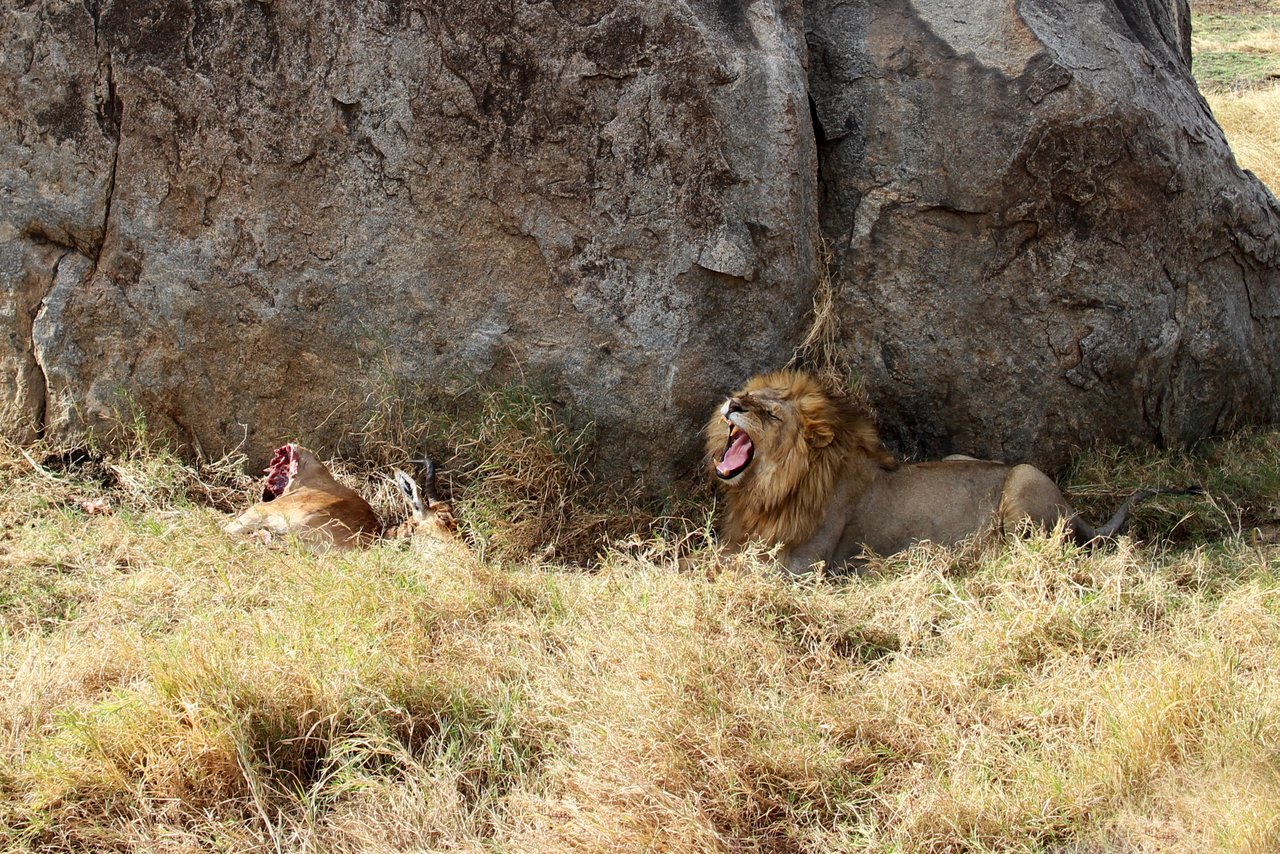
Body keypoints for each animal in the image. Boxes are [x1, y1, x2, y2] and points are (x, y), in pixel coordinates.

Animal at [706, 368, 1182, 573]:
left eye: (769, 413)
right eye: (750, 394)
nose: (733, 403)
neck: (765, 488)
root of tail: (1073, 509)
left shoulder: (804, 564)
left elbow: (726, 566)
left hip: (1025, 478)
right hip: (960, 458)